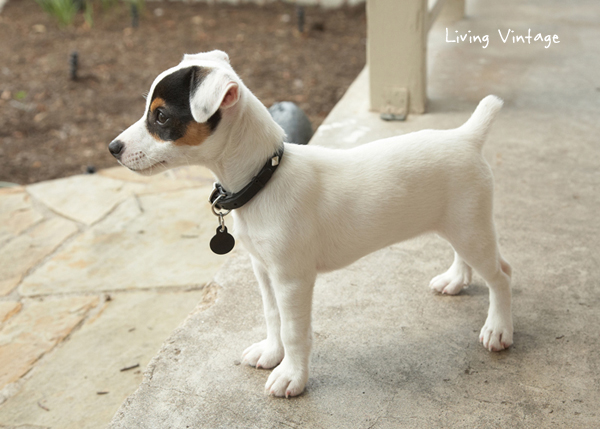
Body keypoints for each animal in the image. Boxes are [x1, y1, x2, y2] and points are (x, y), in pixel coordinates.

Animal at [110, 50, 512, 398]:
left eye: (161, 117)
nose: (112, 148)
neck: (264, 179)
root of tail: (467, 136)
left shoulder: (293, 279)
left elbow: (294, 331)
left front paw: (291, 376)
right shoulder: (263, 269)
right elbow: (272, 316)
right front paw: (271, 353)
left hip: (471, 229)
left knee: (502, 275)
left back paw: (498, 329)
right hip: (459, 226)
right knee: (465, 257)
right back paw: (456, 280)